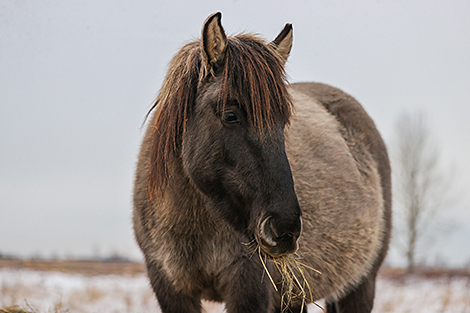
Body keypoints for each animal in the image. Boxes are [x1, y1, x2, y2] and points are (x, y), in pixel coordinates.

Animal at [134, 12, 392, 312]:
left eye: (283, 122)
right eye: (230, 116)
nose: (285, 228)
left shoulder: (249, 287)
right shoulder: (171, 289)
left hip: (360, 285)